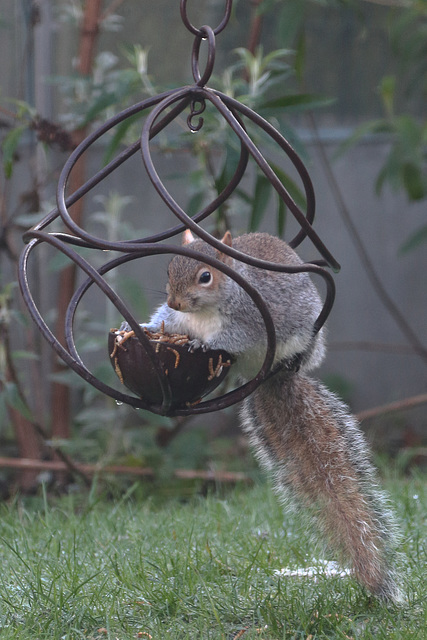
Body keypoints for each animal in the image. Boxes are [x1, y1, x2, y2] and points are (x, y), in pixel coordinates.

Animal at [141, 231, 404, 604]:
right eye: (169, 269)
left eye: (205, 276)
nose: (176, 302)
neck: (203, 314)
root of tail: (269, 376)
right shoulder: (178, 320)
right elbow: (163, 322)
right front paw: (144, 325)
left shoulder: (250, 322)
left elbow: (231, 337)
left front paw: (203, 346)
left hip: (303, 340)